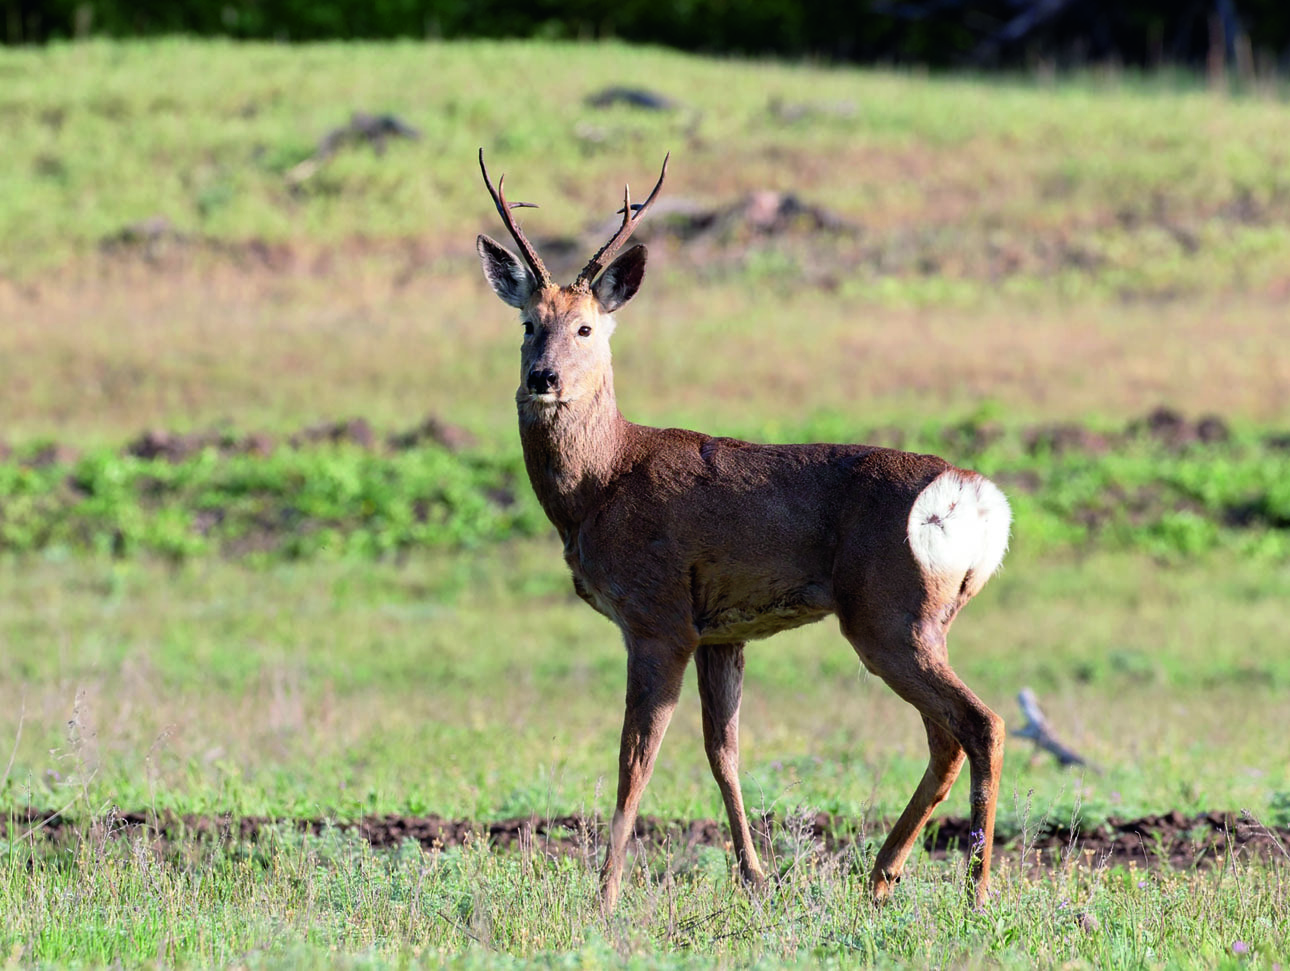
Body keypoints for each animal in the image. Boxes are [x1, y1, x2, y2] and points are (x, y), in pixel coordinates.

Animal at [479, 147, 1011, 912]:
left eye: (585, 327)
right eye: (528, 324)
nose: (543, 378)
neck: (602, 481)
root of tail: (975, 496)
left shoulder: (658, 614)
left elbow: (635, 760)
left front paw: (604, 895)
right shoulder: (720, 631)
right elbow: (722, 750)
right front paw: (755, 876)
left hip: (890, 611)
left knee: (979, 723)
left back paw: (976, 888)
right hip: (914, 617)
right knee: (946, 735)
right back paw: (882, 875)